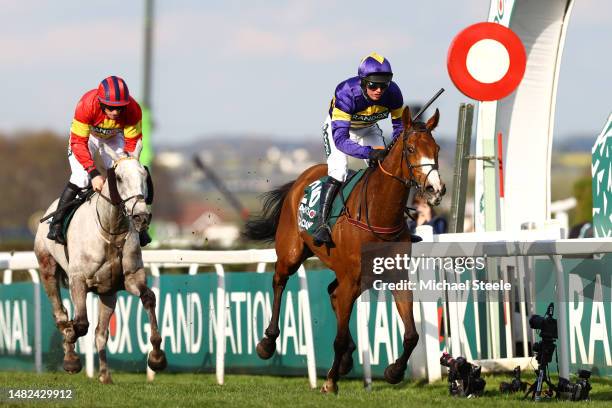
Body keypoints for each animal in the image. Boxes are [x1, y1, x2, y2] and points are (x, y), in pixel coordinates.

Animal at [32, 143, 167, 382]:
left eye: (144, 176)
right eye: (119, 178)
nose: (141, 217)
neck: (111, 231)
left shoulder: (130, 278)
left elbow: (149, 298)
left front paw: (157, 357)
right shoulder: (78, 280)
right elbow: (79, 324)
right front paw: (71, 356)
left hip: (108, 293)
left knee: (100, 332)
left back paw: (105, 375)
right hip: (47, 268)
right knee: (61, 315)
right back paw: (71, 355)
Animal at [244, 107, 444, 394]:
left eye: (436, 149)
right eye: (410, 148)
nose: (435, 190)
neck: (379, 213)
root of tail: (300, 179)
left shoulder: (396, 277)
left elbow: (412, 335)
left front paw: (394, 371)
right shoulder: (351, 277)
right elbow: (337, 337)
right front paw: (330, 381)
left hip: (359, 277)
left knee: (333, 292)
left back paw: (347, 358)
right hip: (292, 253)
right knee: (279, 281)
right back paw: (267, 343)